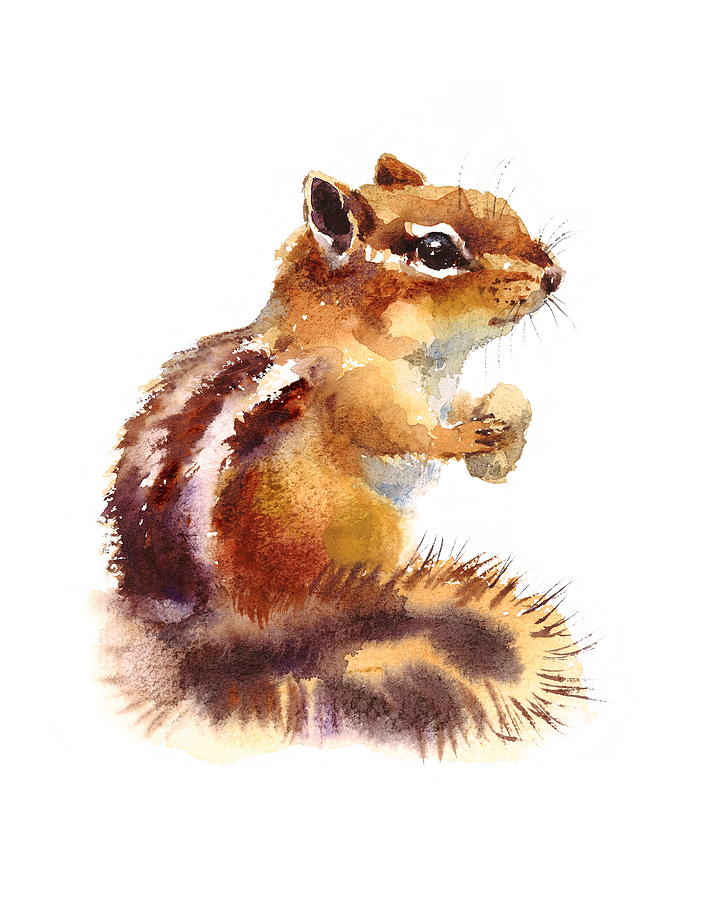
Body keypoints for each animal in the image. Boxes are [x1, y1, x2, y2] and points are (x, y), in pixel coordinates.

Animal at [101, 153, 592, 761]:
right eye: (437, 252)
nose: (553, 275)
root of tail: (235, 630)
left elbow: (456, 407)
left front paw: (501, 421)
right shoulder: (360, 393)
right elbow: (405, 433)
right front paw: (470, 438)